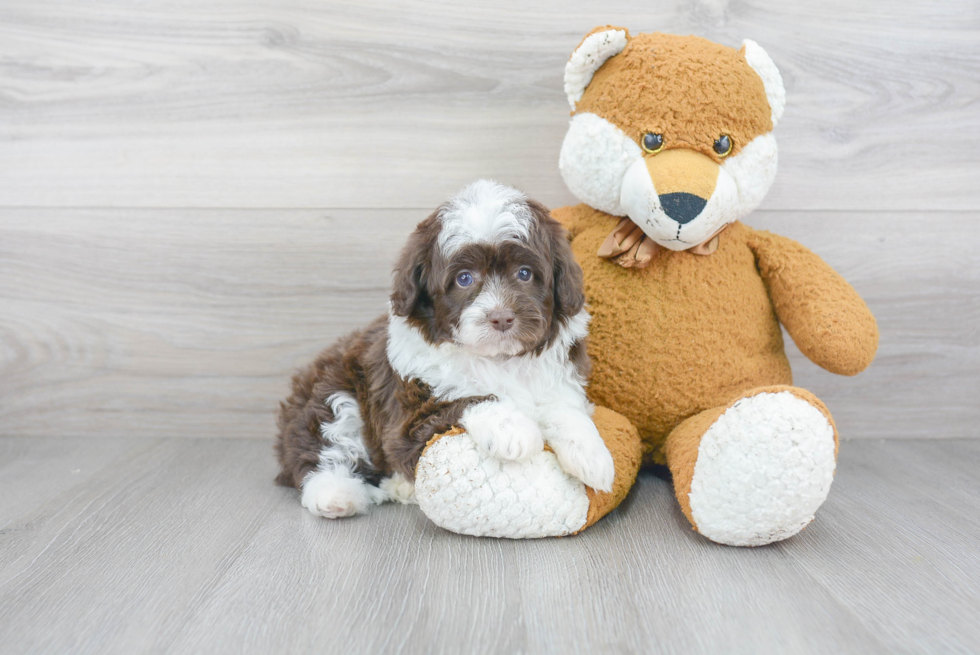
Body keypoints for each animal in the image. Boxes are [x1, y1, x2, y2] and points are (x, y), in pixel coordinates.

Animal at [274, 179, 612, 516]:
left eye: (525, 273)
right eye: (464, 279)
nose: (501, 317)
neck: (498, 359)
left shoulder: (559, 380)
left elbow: (564, 409)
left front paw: (592, 453)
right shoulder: (409, 416)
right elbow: (465, 400)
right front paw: (512, 428)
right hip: (332, 394)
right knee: (319, 450)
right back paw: (336, 495)